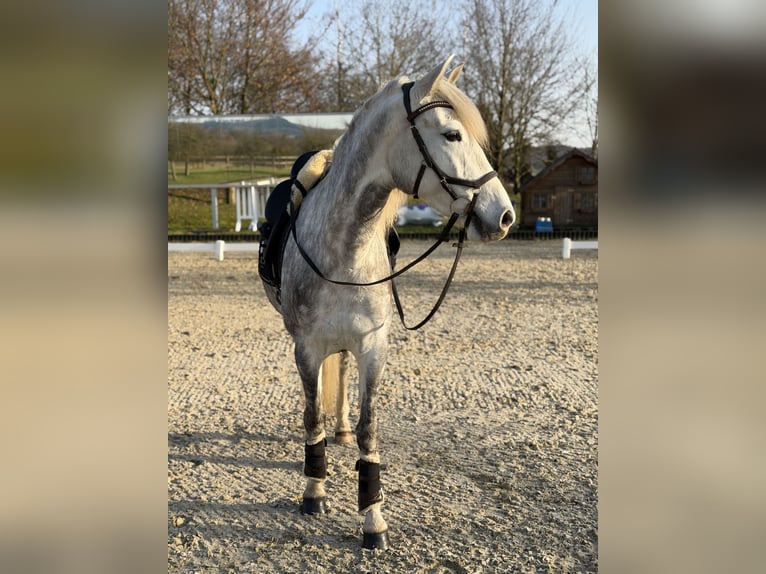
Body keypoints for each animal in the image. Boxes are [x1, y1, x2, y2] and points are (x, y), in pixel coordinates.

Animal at [259, 55, 515, 550]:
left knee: (341, 376)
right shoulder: (306, 348)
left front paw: (372, 518)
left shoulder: (374, 348)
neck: (345, 250)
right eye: (451, 135)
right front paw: (314, 492)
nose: (505, 216)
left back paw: (339, 433)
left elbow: (367, 427)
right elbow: (310, 414)